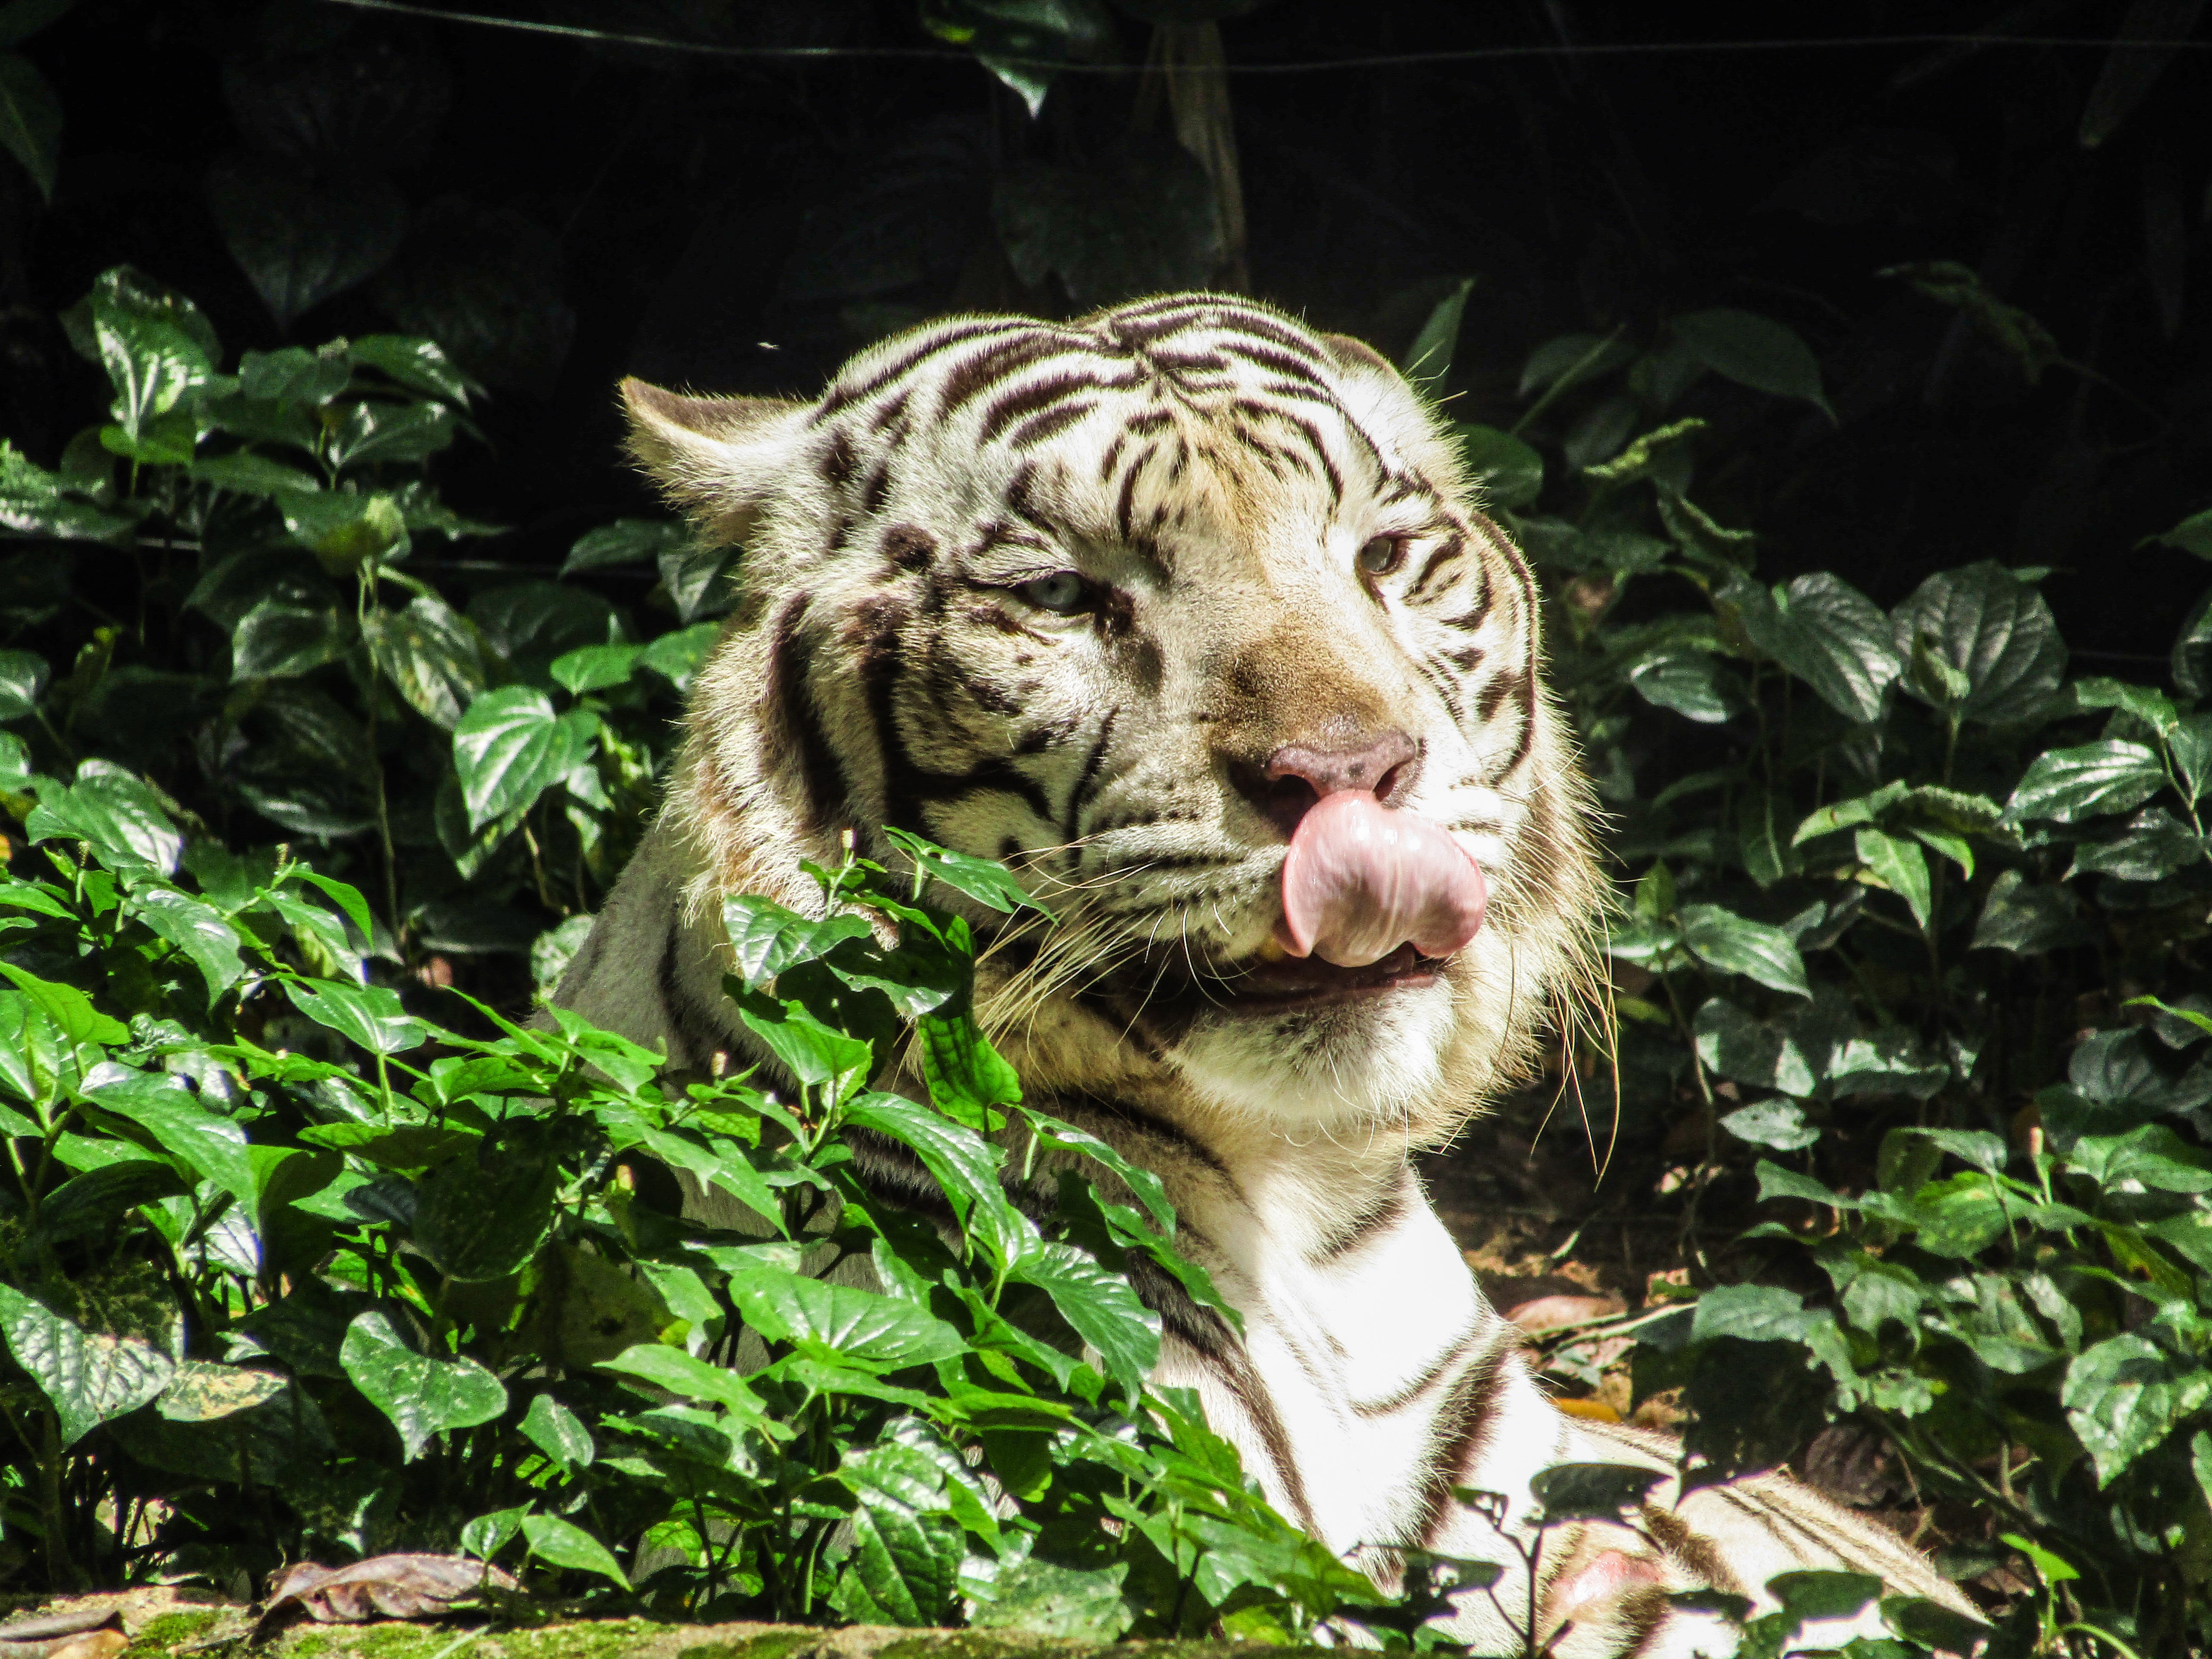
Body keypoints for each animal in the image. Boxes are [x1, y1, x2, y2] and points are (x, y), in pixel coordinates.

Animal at [553, 291, 1975, 1655]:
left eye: (1382, 559)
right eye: (1064, 597)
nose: (1348, 770)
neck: (1305, 1191)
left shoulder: (1518, 1497)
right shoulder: (1089, 1481)